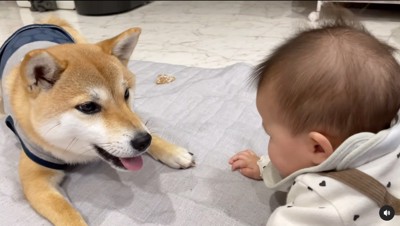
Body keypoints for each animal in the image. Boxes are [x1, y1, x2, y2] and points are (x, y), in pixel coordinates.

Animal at [0, 16, 194, 225]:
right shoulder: (36, 180)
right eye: (88, 107)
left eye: (126, 94)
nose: (143, 142)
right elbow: (67, 214)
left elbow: (145, 126)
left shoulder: (135, 118)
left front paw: (174, 152)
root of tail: (39, 22)